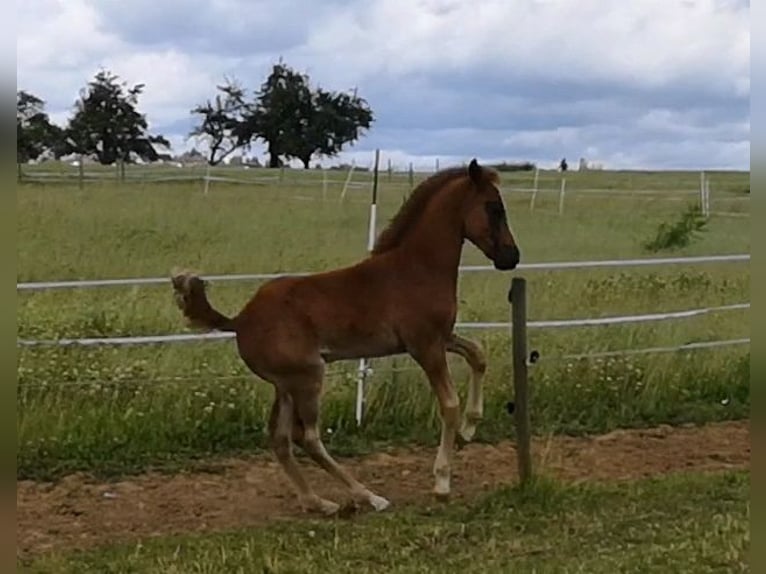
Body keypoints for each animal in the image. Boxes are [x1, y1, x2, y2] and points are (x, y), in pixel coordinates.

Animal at [172, 159, 520, 516]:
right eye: (494, 208)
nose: (512, 257)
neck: (416, 268)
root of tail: (240, 320)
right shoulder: (425, 346)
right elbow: (449, 404)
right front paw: (442, 484)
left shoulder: (440, 337)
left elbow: (478, 354)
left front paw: (469, 430)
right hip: (308, 377)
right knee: (307, 437)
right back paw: (369, 497)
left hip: (285, 385)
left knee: (280, 438)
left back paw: (318, 502)